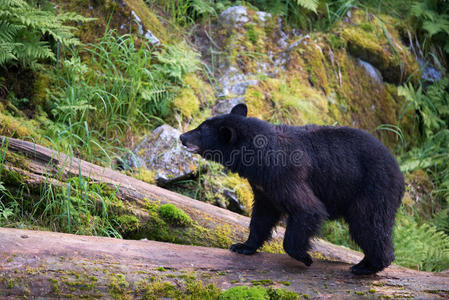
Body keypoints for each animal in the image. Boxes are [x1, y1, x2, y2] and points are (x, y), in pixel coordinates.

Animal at [180, 104, 404, 276]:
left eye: (200, 130)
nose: (182, 136)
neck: (257, 155)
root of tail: (398, 171)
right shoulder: (264, 186)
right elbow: (262, 216)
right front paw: (243, 246)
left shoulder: (285, 174)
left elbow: (307, 209)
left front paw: (304, 257)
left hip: (373, 189)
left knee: (368, 224)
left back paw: (367, 266)